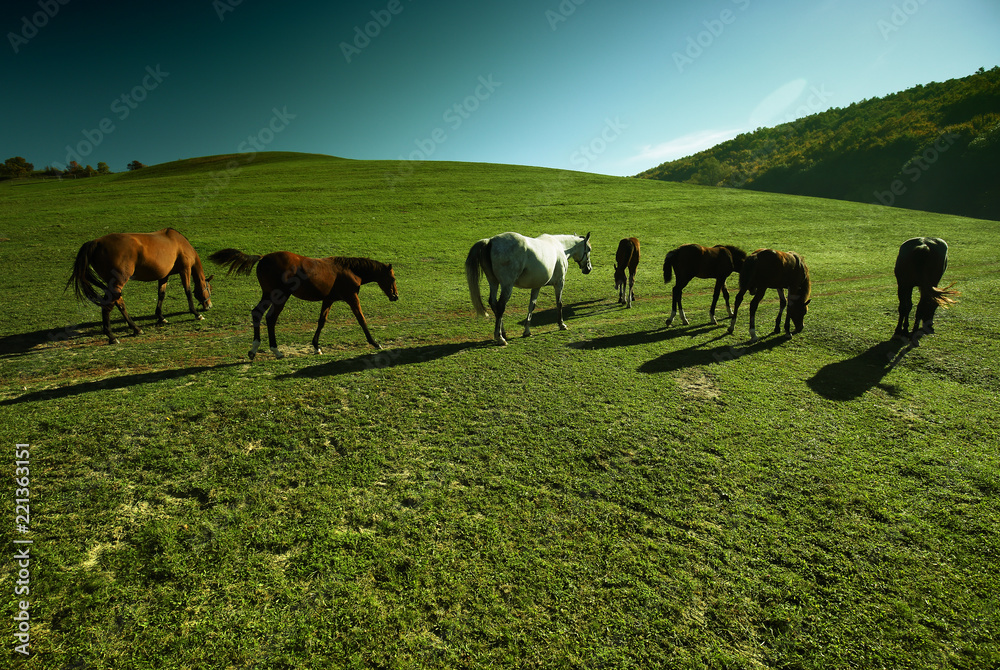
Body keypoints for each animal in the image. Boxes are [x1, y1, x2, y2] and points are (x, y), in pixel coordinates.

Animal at [67, 228, 213, 344]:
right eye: (209, 289)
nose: (209, 305)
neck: (180, 244)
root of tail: (96, 242)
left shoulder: (164, 276)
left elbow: (161, 295)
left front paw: (161, 317)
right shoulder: (185, 270)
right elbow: (187, 291)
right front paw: (196, 313)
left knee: (119, 303)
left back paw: (135, 328)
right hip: (118, 282)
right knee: (108, 305)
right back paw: (112, 336)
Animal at [209, 249, 398, 359]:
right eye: (393, 278)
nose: (395, 296)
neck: (350, 270)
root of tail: (262, 258)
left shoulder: (328, 299)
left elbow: (321, 321)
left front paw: (316, 346)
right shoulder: (351, 297)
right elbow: (361, 319)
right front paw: (375, 342)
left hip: (267, 294)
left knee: (257, 313)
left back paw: (254, 350)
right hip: (281, 296)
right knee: (271, 318)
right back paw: (276, 351)